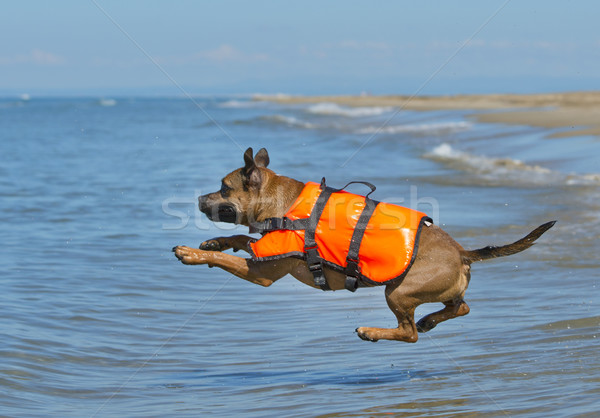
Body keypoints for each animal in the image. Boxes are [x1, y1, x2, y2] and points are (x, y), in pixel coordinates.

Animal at [171, 147, 556, 342]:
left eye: (223, 188)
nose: (199, 199)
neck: (282, 204)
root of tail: (462, 253)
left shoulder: (260, 272)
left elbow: (232, 258)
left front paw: (192, 253)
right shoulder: (262, 248)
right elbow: (240, 238)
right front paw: (215, 241)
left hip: (398, 292)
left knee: (409, 333)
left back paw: (373, 330)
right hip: (439, 290)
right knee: (460, 308)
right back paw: (431, 320)